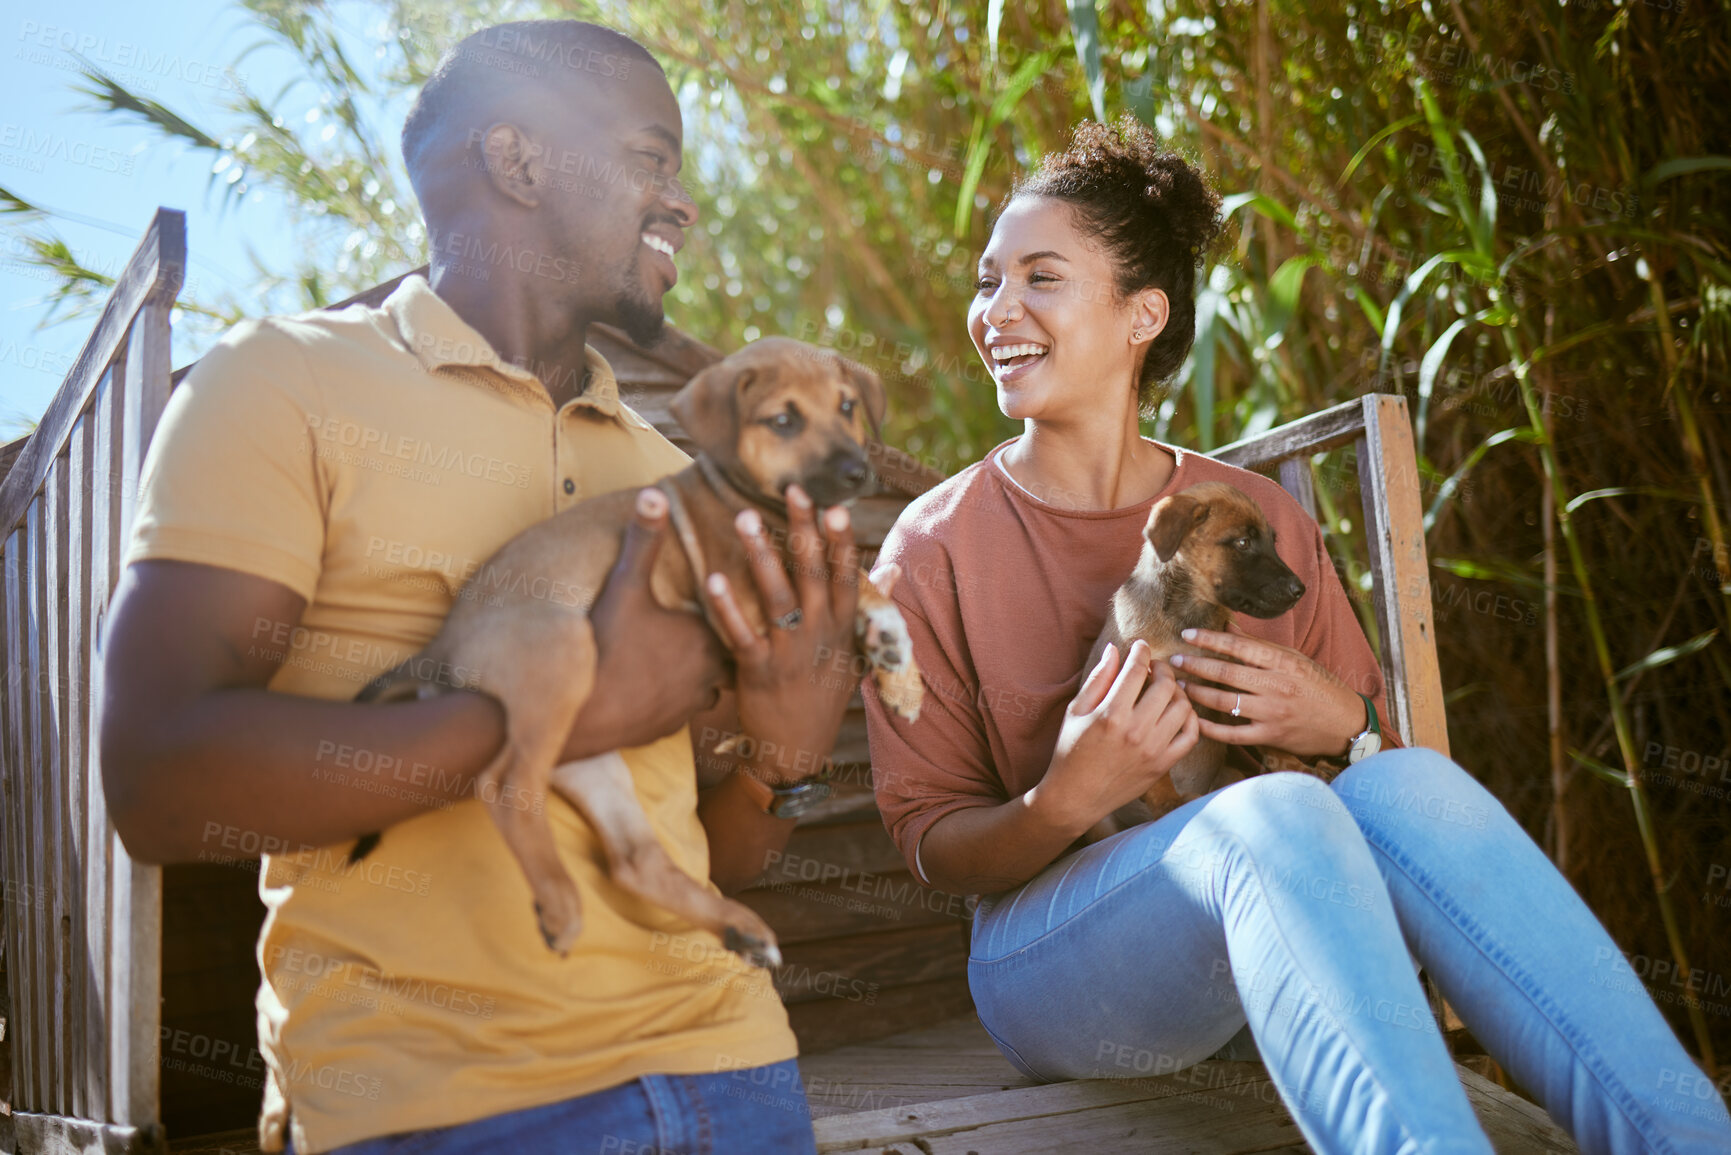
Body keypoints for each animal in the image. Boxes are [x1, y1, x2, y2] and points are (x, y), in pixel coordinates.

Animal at [351, 335, 920, 969]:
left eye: (847, 407)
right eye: (783, 421)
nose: (857, 472)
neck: (750, 499)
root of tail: (444, 643)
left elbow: (862, 583)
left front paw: (899, 664)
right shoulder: (740, 588)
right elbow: (813, 589)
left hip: (590, 761)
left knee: (632, 861)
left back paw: (739, 926)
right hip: (564, 651)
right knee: (505, 785)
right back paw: (561, 904)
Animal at [1087, 484, 1301, 834]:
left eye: (1273, 541)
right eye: (1243, 542)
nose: (1300, 589)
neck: (1187, 617)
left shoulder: (1226, 677)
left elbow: (1260, 726)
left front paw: (1289, 762)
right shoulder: (1140, 689)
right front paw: (1166, 800)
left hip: (1229, 773)